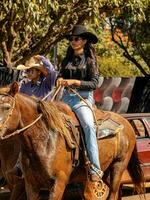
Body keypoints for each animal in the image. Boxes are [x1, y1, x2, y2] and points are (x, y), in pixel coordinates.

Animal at [0, 81, 144, 200]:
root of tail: (126, 123)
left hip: (118, 166)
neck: (44, 142)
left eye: (7, 107)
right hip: (107, 171)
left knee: (113, 193)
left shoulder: (58, 182)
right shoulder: (30, 184)